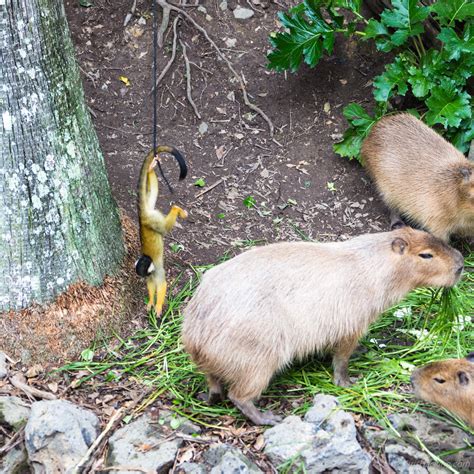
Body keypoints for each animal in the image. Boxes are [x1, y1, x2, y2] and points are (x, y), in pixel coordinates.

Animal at [135, 144, 187, 314]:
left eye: (148, 270)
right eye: (144, 274)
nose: (148, 274)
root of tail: (143, 217)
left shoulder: (157, 270)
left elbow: (162, 284)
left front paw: (157, 306)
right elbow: (151, 285)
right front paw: (151, 301)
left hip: (154, 220)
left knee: (164, 228)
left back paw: (176, 209)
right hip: (151, 212)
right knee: (151, 194)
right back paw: (151, 169)